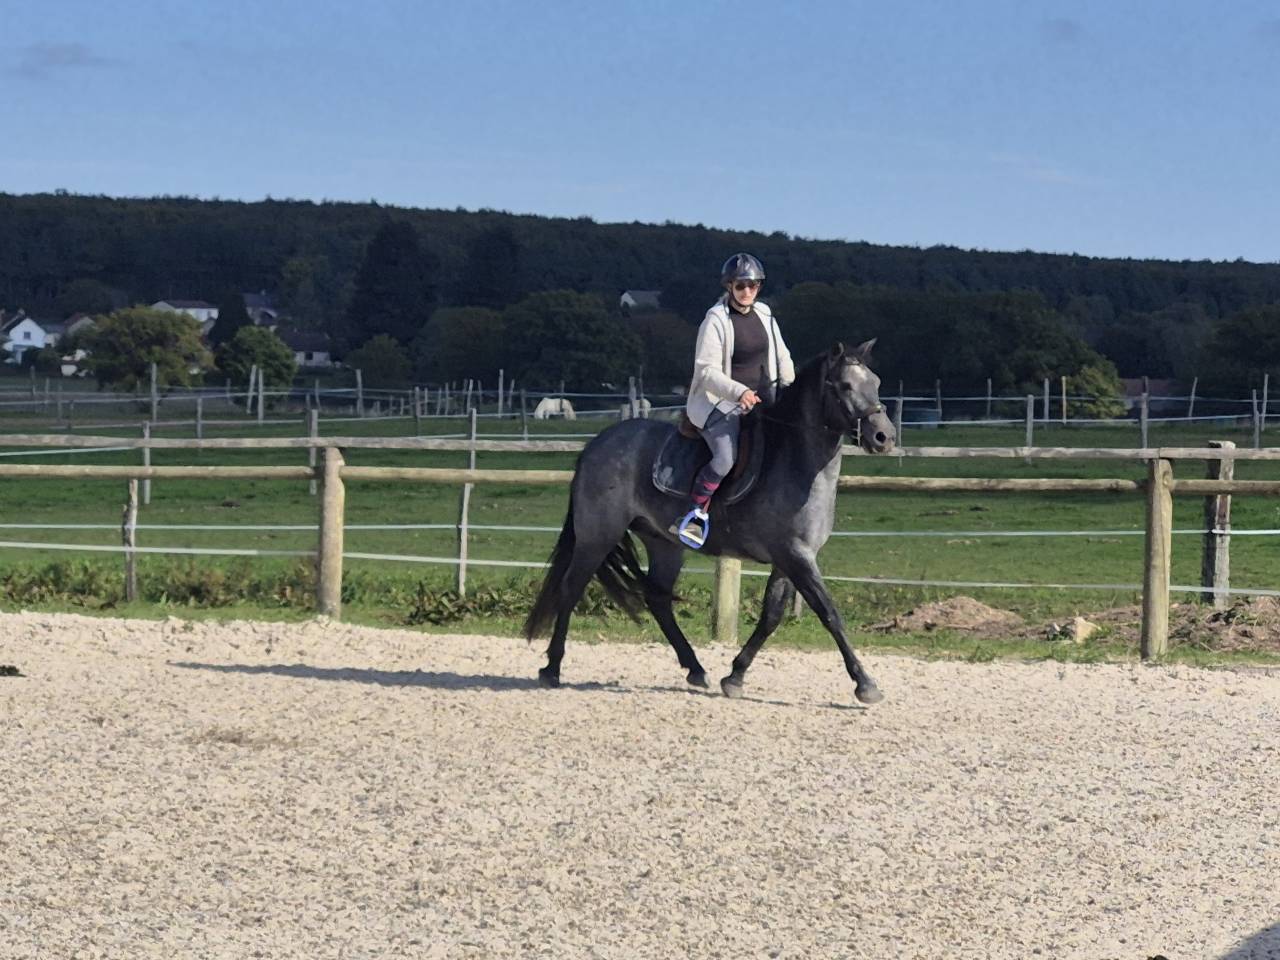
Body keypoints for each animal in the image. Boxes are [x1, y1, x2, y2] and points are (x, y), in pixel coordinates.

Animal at [522, 340, 897, 704]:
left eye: (877, 383)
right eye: (846, 385)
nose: (885, 437)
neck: (794, 461)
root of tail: (596, 444)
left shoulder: (790, 558)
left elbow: (771, 616)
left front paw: (735, 676)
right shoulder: (795, 556)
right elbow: (829, 613)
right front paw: (866, 684)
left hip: (663, 543)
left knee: (658, 599)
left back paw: (695, 668)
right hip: (597, 536)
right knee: (572, 588)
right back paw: (552, 668)